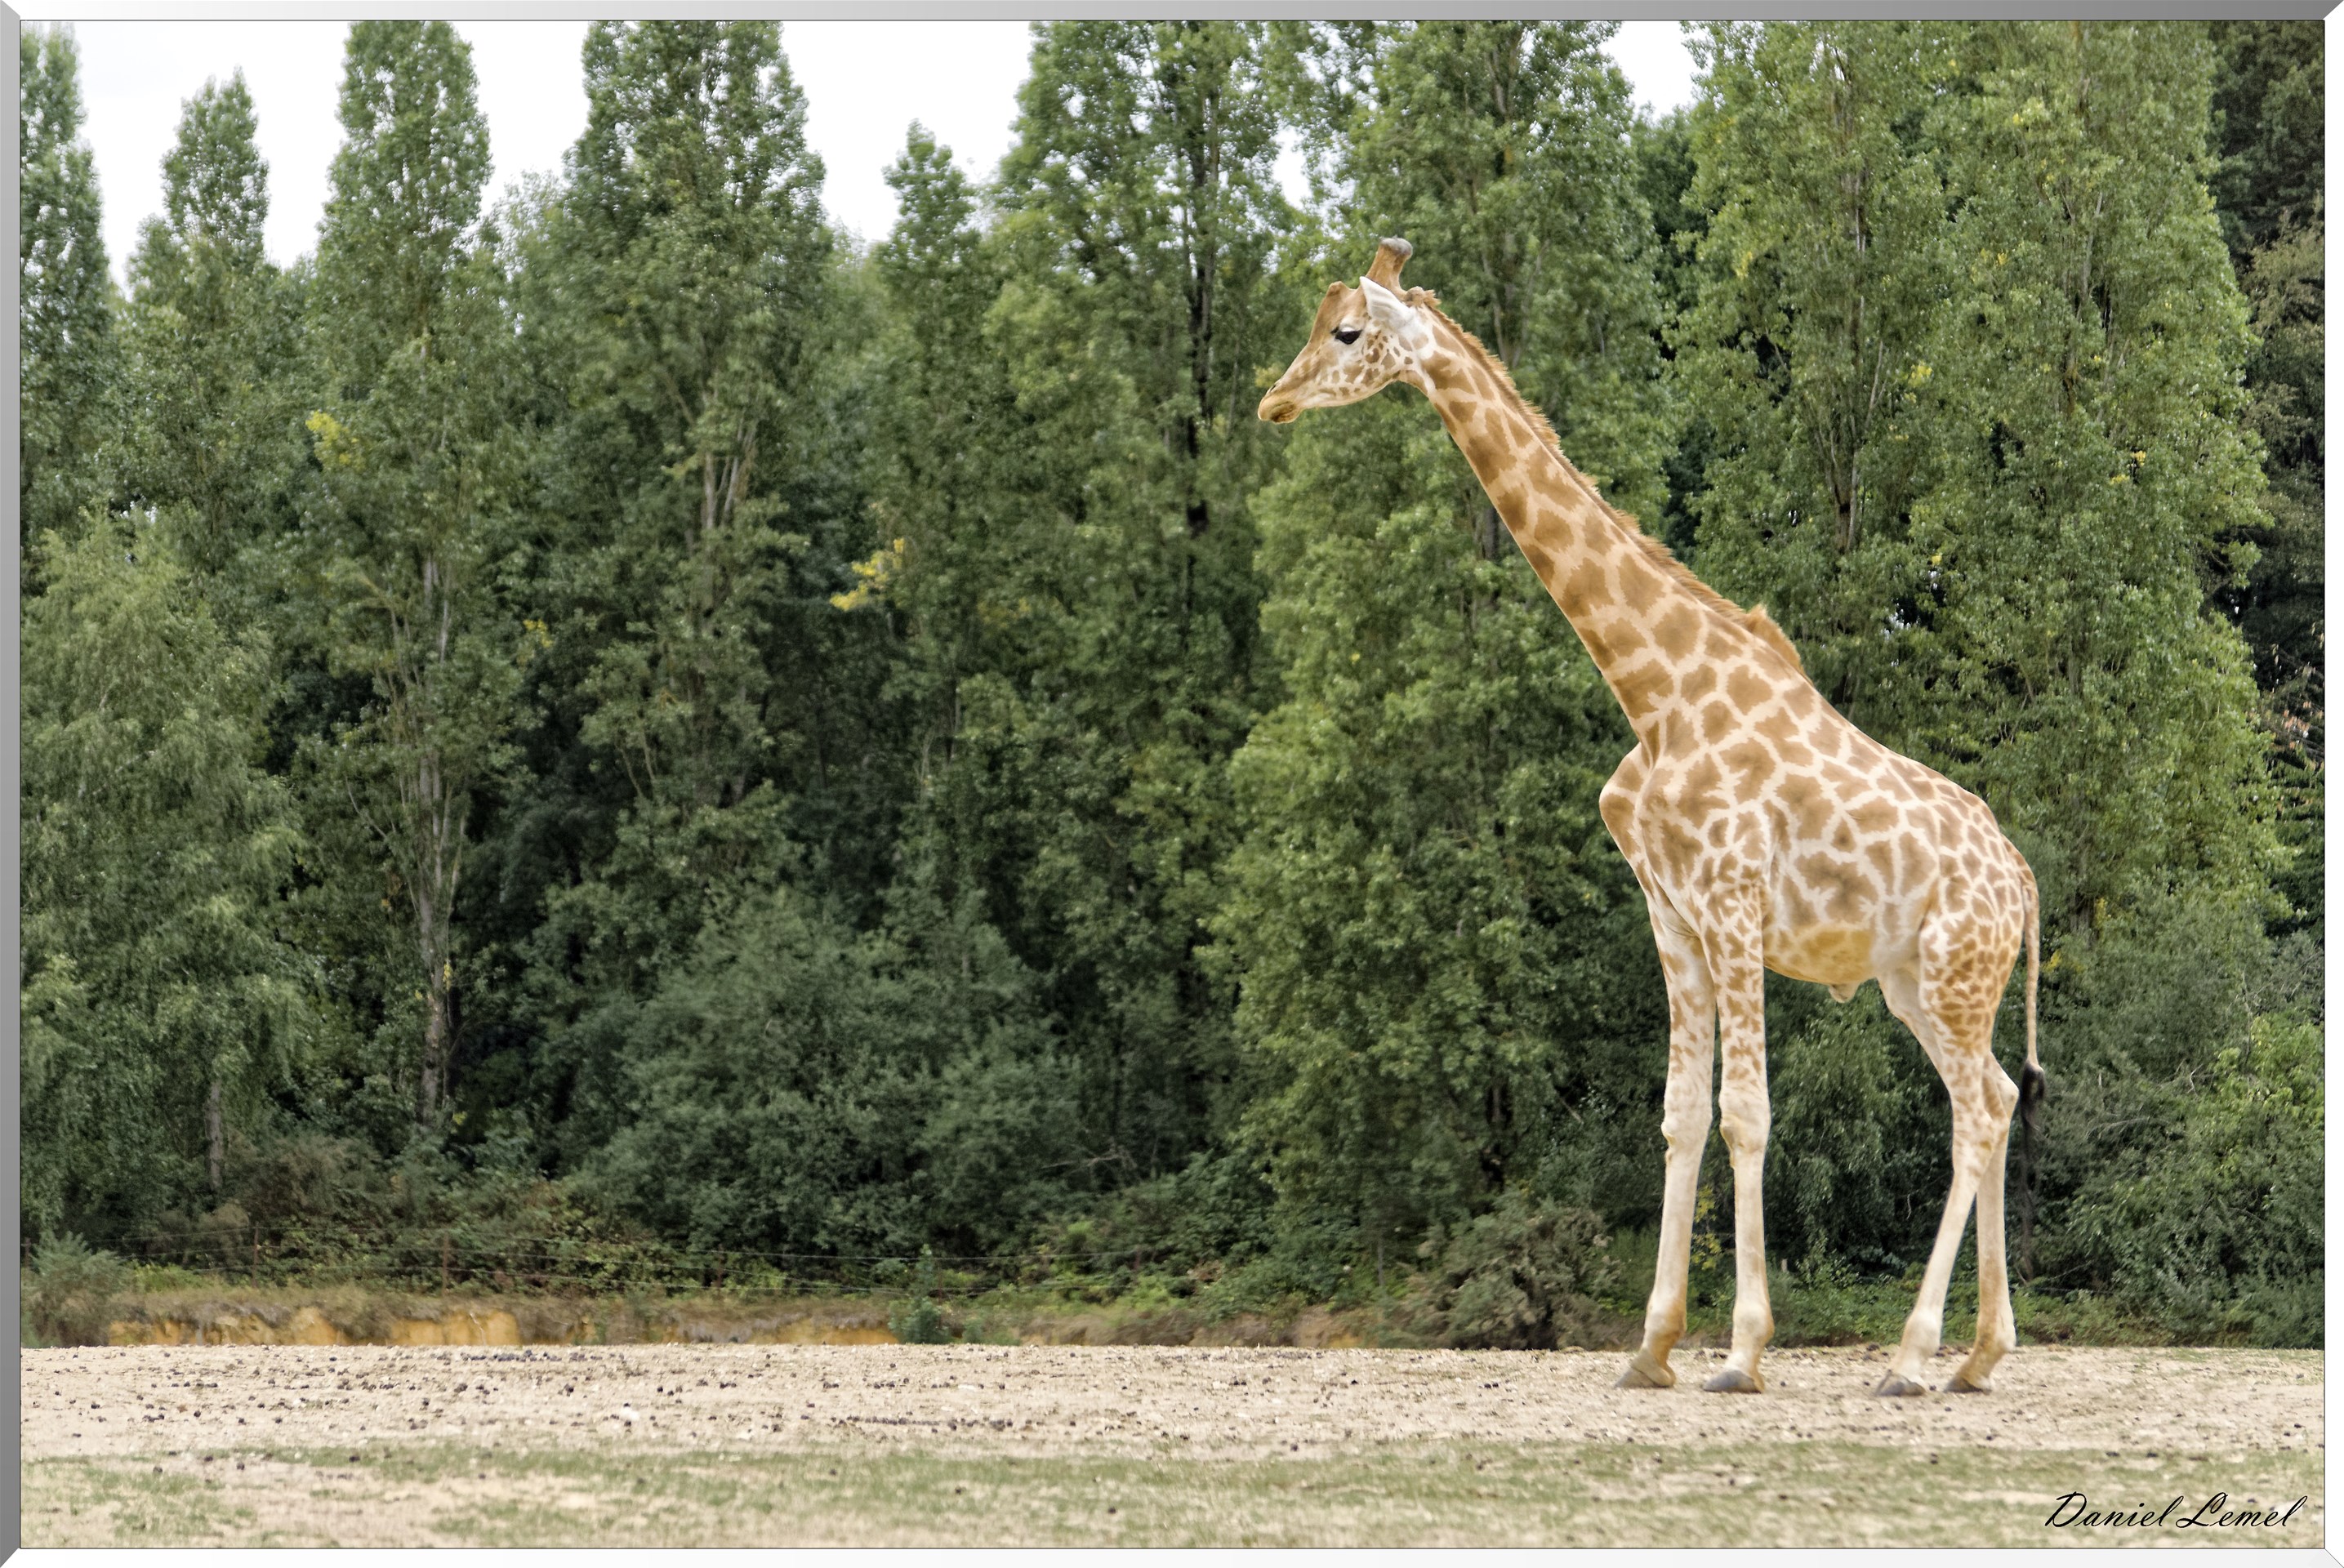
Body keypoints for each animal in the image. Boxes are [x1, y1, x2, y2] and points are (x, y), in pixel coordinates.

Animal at [1257, 238, 2045, 1397]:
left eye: (1346, 332)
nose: (1272, 400)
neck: (1653, 693)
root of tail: (2022, 881)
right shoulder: (1670, 916)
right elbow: (1679, 1119)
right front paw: (1653, 1346)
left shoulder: (1733, 907)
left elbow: (1747, 1116)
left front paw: (1743, 1352)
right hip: (1917, 981)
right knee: (1983, 1101)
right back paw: (1978, 1355)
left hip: (1952, 974)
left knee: (1979, 1111)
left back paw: (1912, 1357)